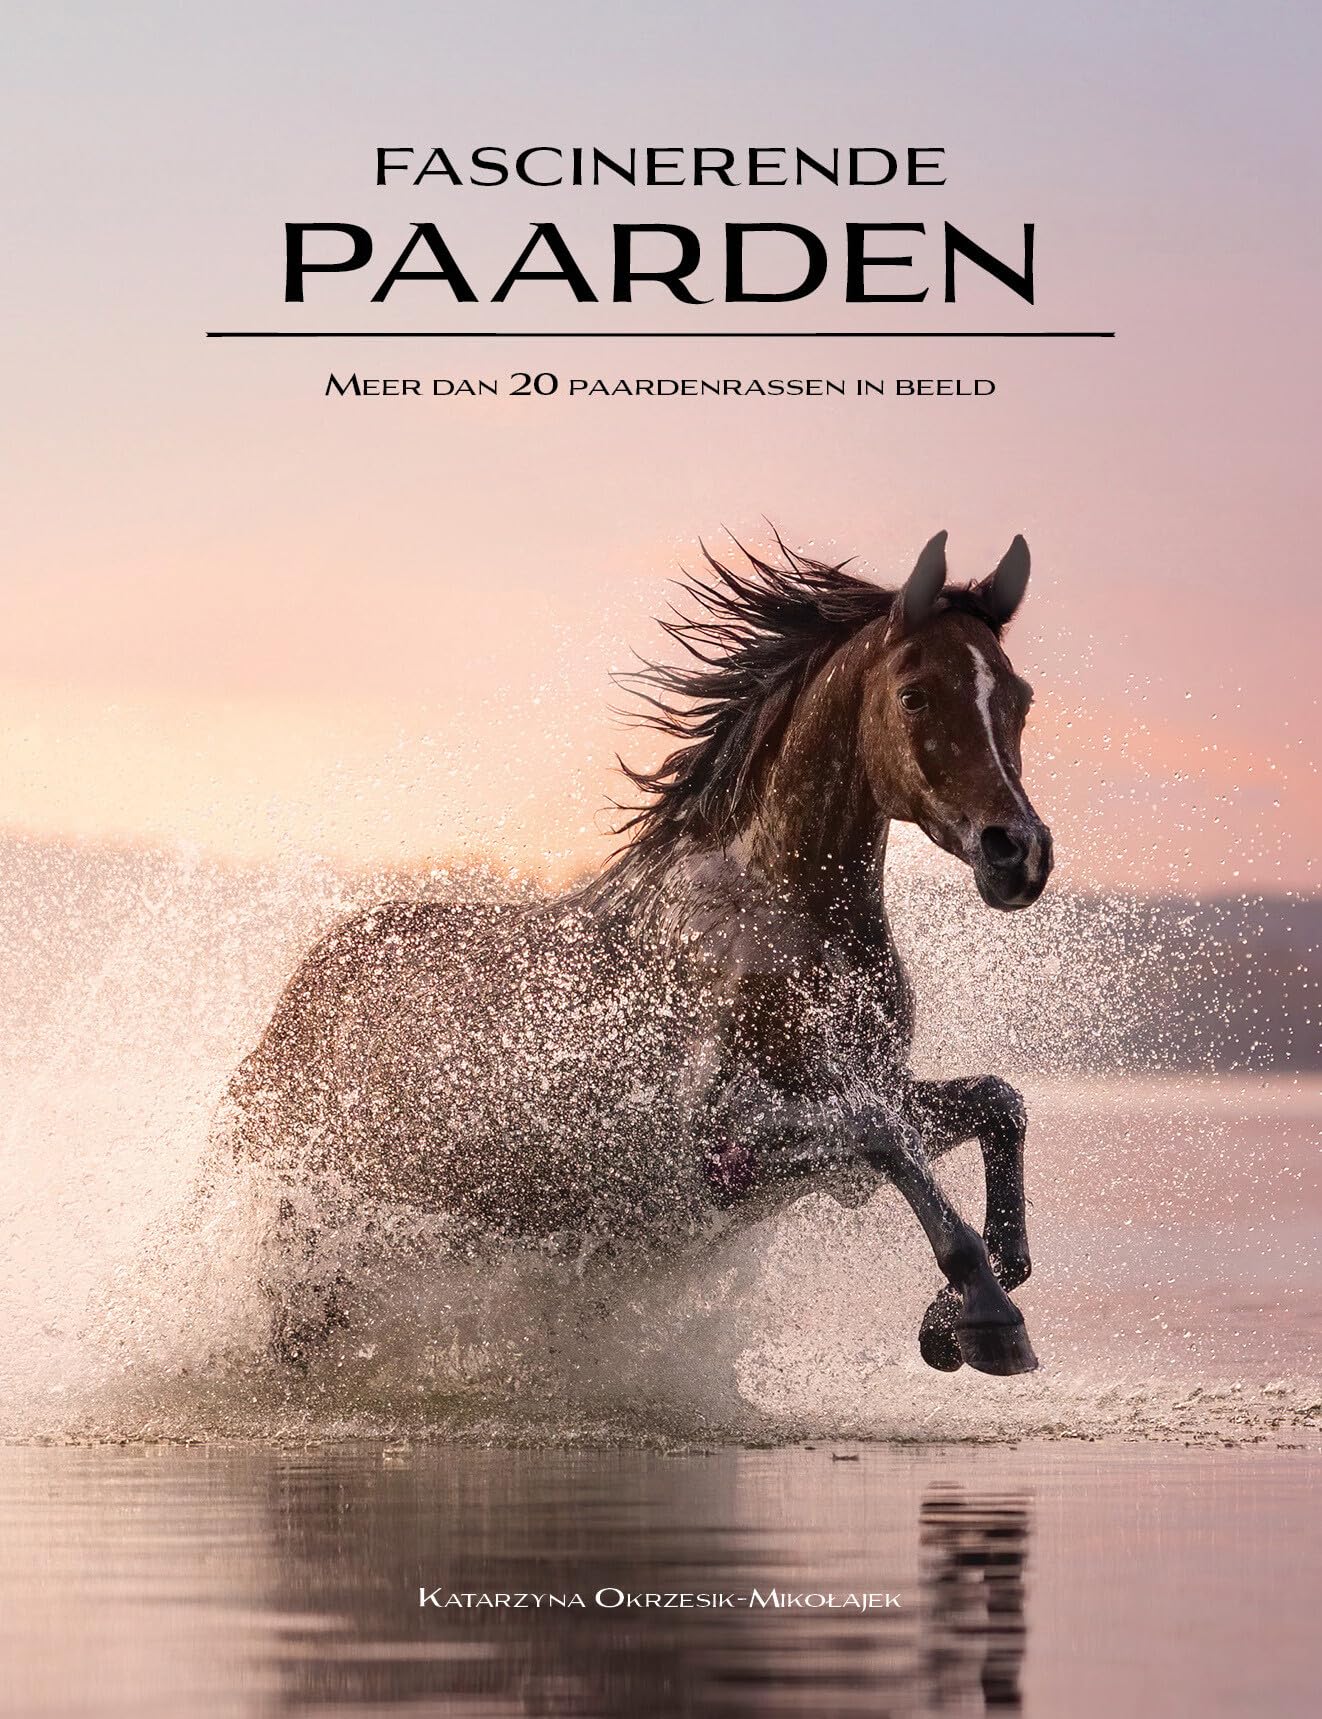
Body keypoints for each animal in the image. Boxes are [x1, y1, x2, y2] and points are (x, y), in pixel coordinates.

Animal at [220, 529, 1053, 1377]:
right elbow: (886, 1136)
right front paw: (987, 1318)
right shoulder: (719, 1147)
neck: (779, 927)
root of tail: (292, 1009)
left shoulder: (868, 1101)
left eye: (1019, 698)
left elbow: (998, 1104)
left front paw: (953, 1314)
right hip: (314, 1225)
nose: (1017, 853)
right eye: (916, 694)